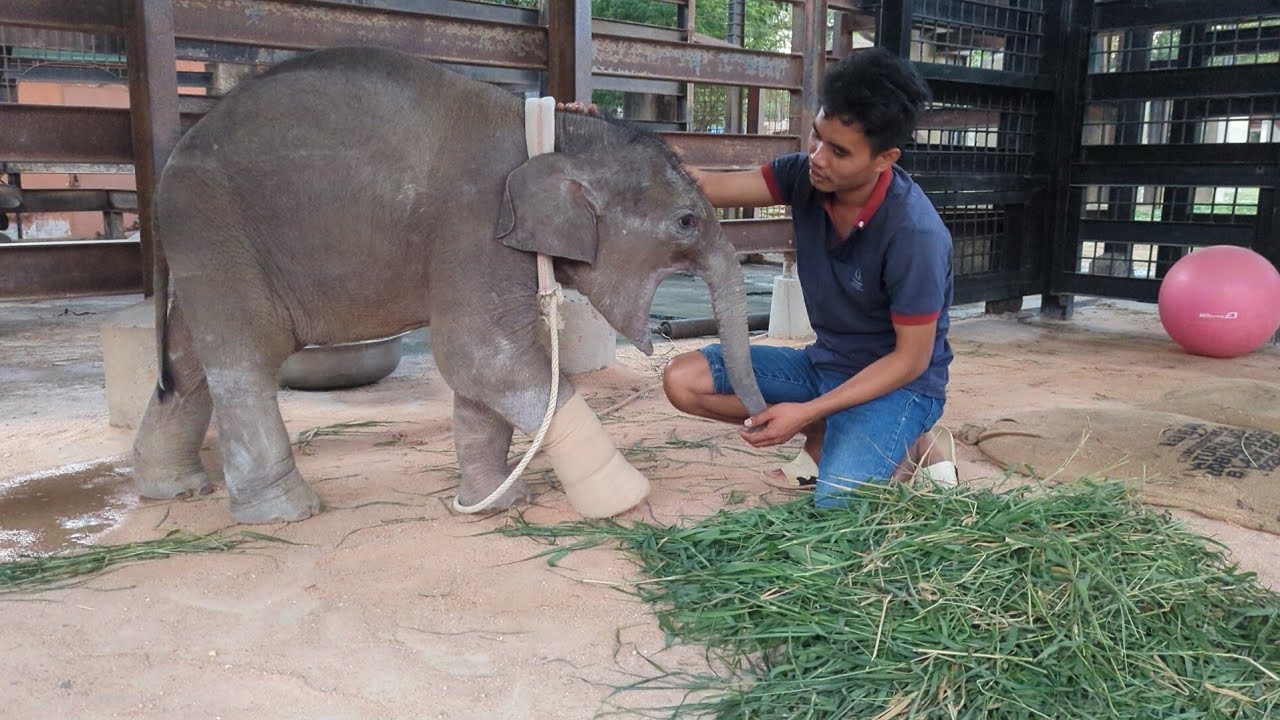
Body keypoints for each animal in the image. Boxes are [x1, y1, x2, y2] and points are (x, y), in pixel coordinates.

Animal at [131, 46, 768, 525]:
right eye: (685, 222)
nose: (759, 427)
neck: (554, 134)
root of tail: (170, 159)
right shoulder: (473, 227)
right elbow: (484, 357)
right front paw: (624, 499)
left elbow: (481, 376)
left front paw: (495, 504)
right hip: (214, 227)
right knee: (246, 358)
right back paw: (288, 513)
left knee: (188, 362)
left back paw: (175, 489)